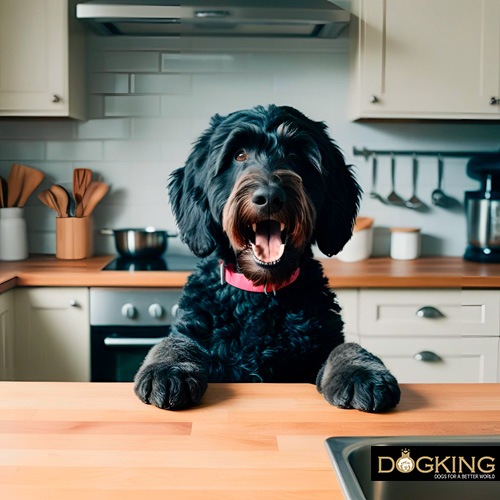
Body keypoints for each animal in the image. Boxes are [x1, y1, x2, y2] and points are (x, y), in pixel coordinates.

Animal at [134, 103, 402, 412]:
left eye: (295, 154)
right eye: (239, 154)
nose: (271, 196)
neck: (260, 295)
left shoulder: (319, 345)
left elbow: (346, 347)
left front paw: (362, 371)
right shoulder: (196, 331)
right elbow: (175, 343)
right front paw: (167, 369)